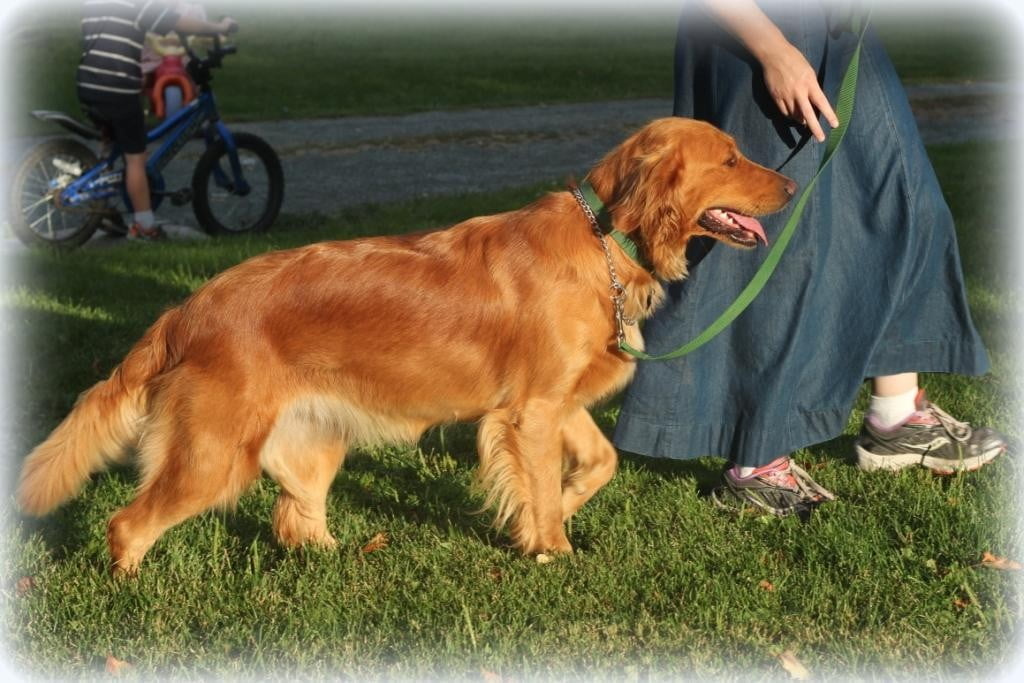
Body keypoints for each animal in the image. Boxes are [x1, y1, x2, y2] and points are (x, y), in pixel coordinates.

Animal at [18, 117, 798, 573]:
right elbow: (545, 483)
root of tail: (187, 307)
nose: (794, 185)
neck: (606, 236)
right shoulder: (532, 412)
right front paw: (551, 547)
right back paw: (128, 593)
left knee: (295, 518)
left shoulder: (551, 402)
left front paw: (563, 507)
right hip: (213, 455)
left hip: (313, 440)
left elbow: (599, 461)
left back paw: (346, 560)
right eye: (732, 159)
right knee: (128, 524)